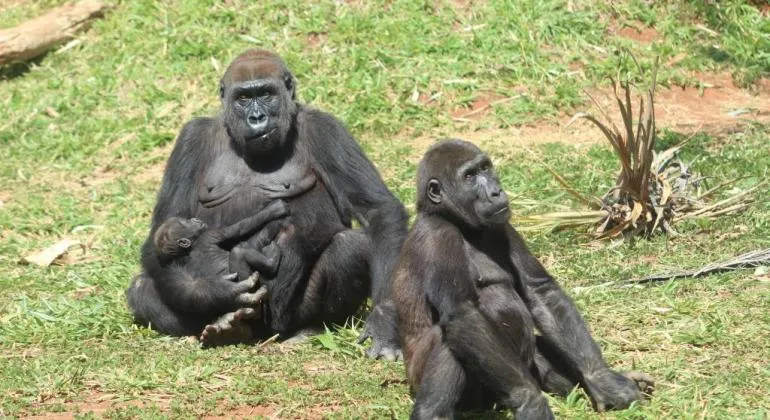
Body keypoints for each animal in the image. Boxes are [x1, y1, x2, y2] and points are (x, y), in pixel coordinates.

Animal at [126, 48, 408, 348]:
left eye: (266, 94)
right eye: (243, 98)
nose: (257, 117)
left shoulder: (327, 129)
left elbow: (377, 210)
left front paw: (385, 318)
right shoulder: (191, 138)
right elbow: (163, 228)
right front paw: (212, 291)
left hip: (284, 319)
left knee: (349, 246)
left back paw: (311, 327)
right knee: (142, 288)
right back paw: (223, 325)